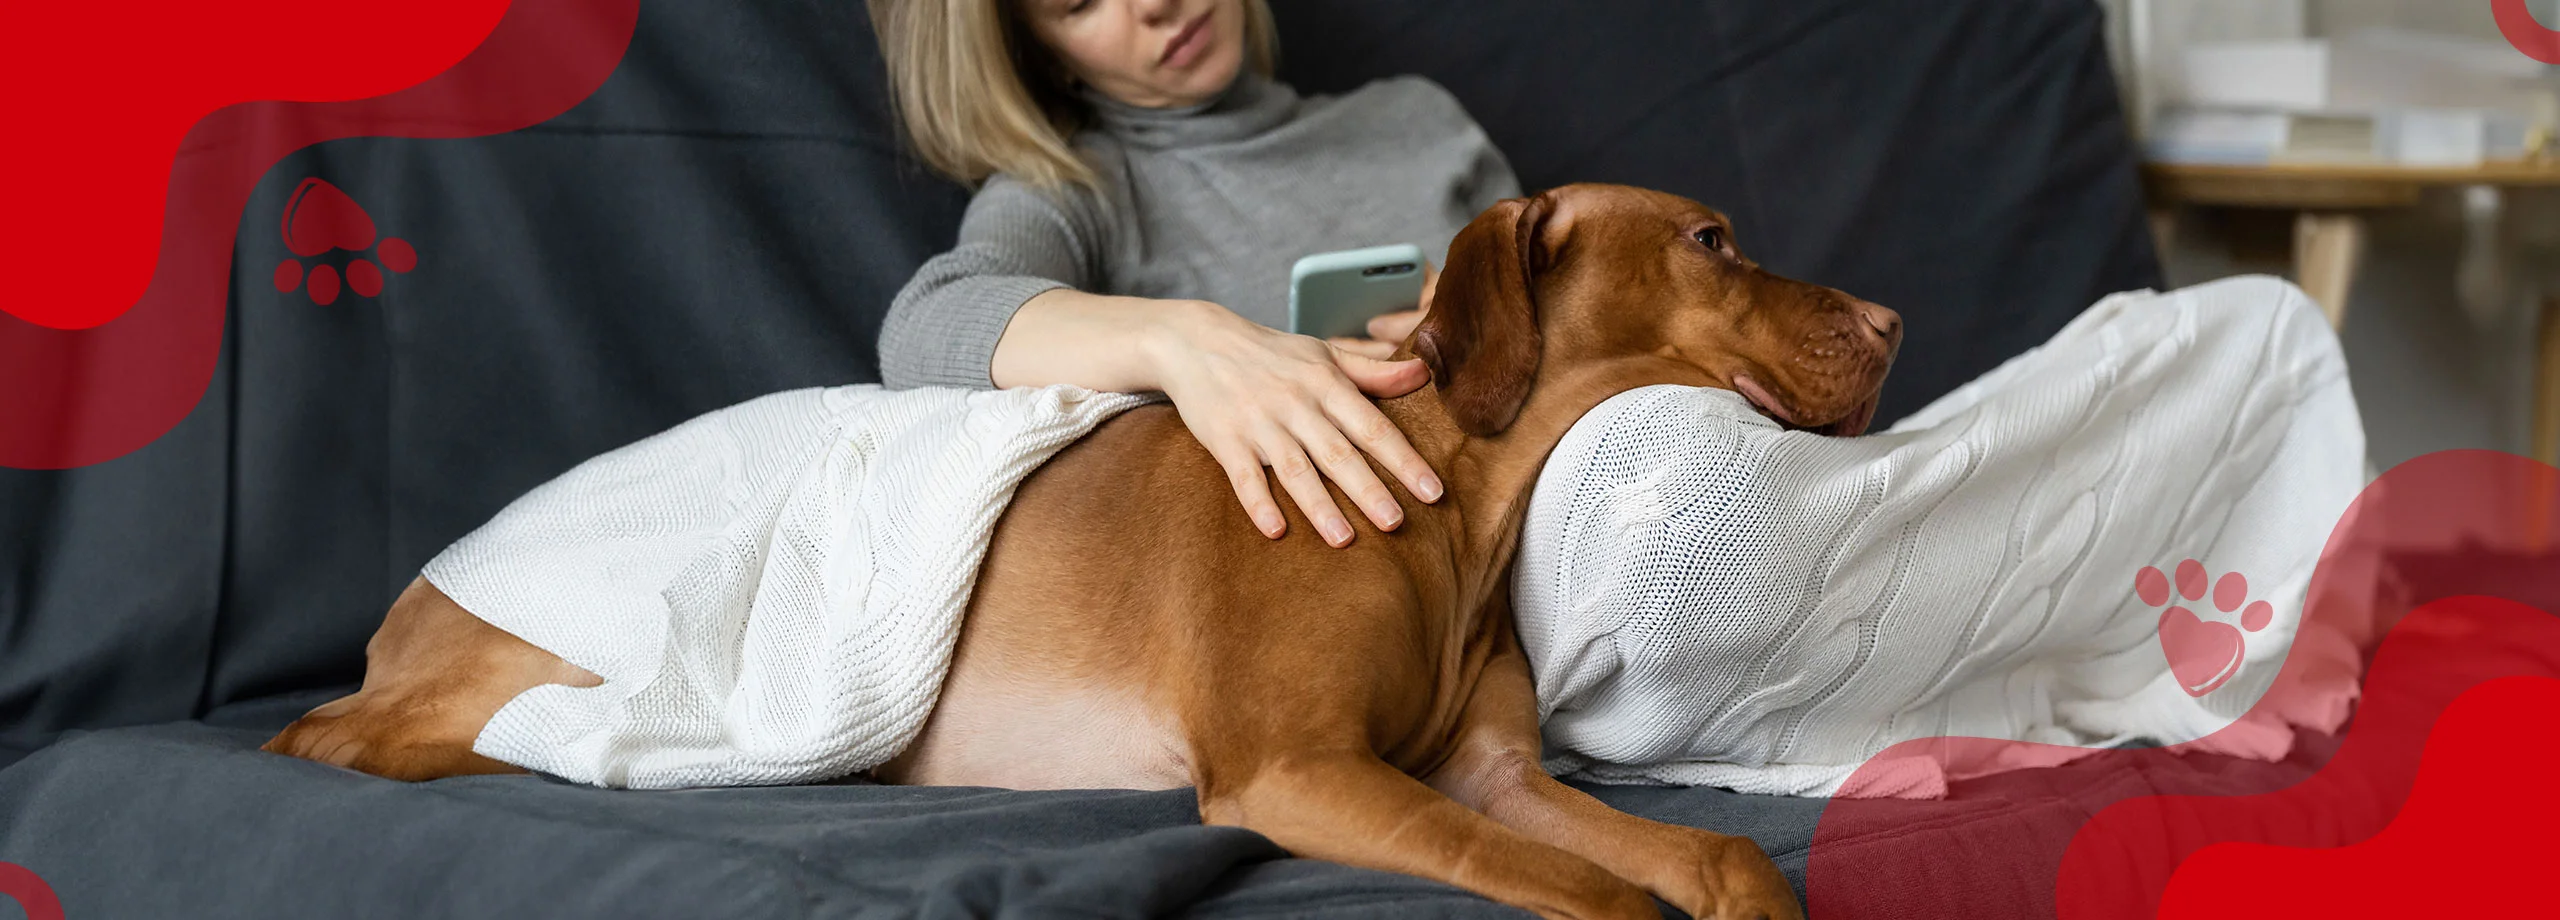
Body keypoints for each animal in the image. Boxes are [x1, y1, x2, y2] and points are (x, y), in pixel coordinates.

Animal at [270, 185, 1904, 920]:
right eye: (1711, 241)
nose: (1893, 320)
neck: (1451, 497)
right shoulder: (1301, 771)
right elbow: (1606, 894)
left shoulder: (1493, 774)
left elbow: (1710, 852)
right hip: (494, 682)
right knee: (331, 741)